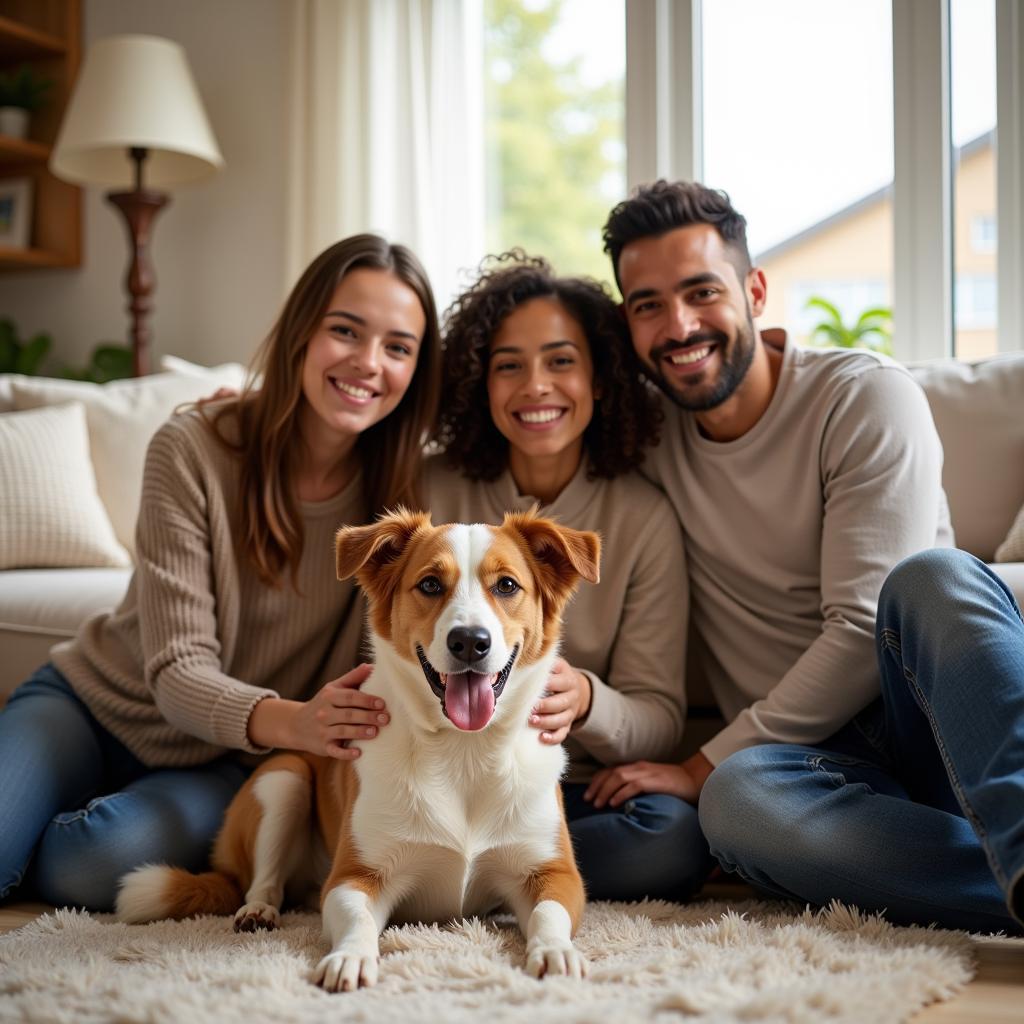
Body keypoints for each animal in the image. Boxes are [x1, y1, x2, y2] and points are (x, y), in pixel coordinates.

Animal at [117, 509, 598, 991]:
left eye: (507, 586)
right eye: (430, 584)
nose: (469, 642)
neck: (464, 750)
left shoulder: (556, 874)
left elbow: (548, 913)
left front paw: (555, 951)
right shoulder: (354, 876)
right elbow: (357, 918)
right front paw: (349, 957)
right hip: (283, 778)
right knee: (263, 878)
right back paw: (258, 910)